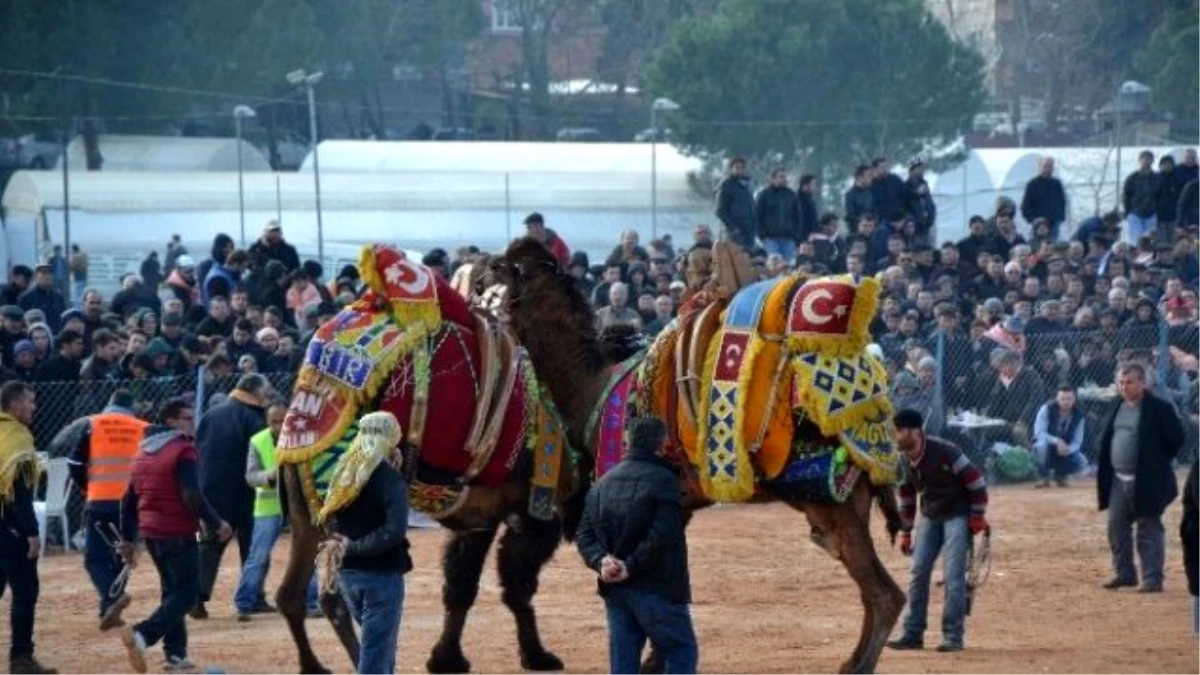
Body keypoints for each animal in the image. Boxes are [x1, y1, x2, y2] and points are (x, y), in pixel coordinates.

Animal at [492, 237, 902, 672]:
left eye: (507, 267)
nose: (484, 272)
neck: (593, 387)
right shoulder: (678, 503)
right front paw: (657, 660)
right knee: (872, 589)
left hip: (830, 502)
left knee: (884, 594)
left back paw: (857, 664)